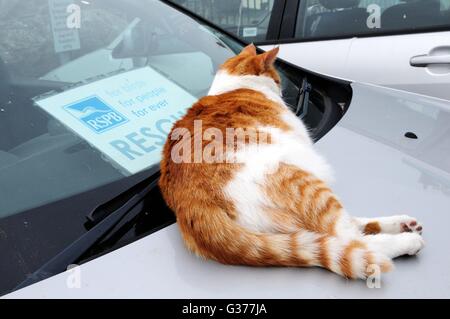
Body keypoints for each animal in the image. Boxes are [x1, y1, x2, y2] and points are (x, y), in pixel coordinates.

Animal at [159, 45, 426, 280]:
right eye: (277, 79)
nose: (280, 89)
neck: (234, 86)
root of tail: (190, 206)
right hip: (304, 182)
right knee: (349, 237)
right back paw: (406, 241)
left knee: (346, 228)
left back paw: (403, 224)